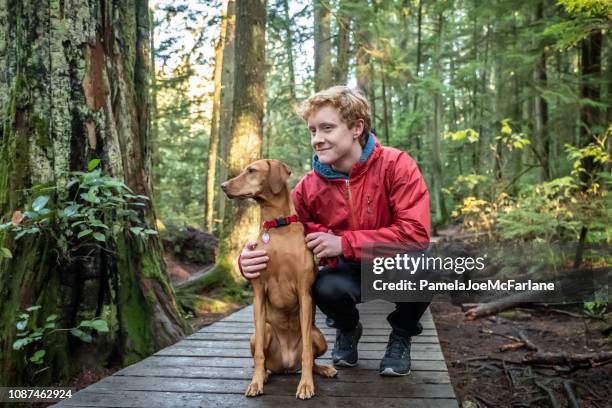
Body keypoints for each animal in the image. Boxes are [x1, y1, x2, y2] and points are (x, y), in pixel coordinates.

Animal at [220, 159, 338, 398]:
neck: (277, 227)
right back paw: (264, 375)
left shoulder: (304, 294)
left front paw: (306, 385)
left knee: (310, 359)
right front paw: (256, 382)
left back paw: (323, 369)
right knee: (265, 360)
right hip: (262, 334)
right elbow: (258, 355)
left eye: (252, 170)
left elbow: (307, 354)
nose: (223, 186)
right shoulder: (258, 295)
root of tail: (286, 366)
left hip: (317, 336)